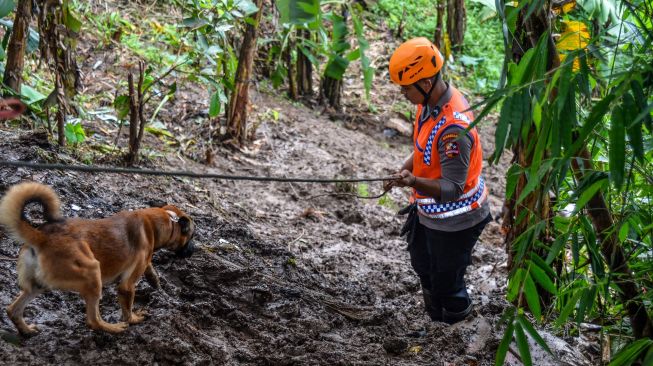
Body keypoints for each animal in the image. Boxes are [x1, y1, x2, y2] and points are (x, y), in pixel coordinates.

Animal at [0, 182, 195, 334]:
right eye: (192, 236)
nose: (194, 250)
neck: (160, 221)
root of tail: (41, 237)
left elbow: (150, 268)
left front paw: (155, 281)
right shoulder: (126, 286)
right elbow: (127, 309)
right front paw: (133, 319)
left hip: (38, 286)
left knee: (12, 310)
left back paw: (26, 330)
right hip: (93, 272)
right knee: (93, 320)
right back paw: (113, 328)